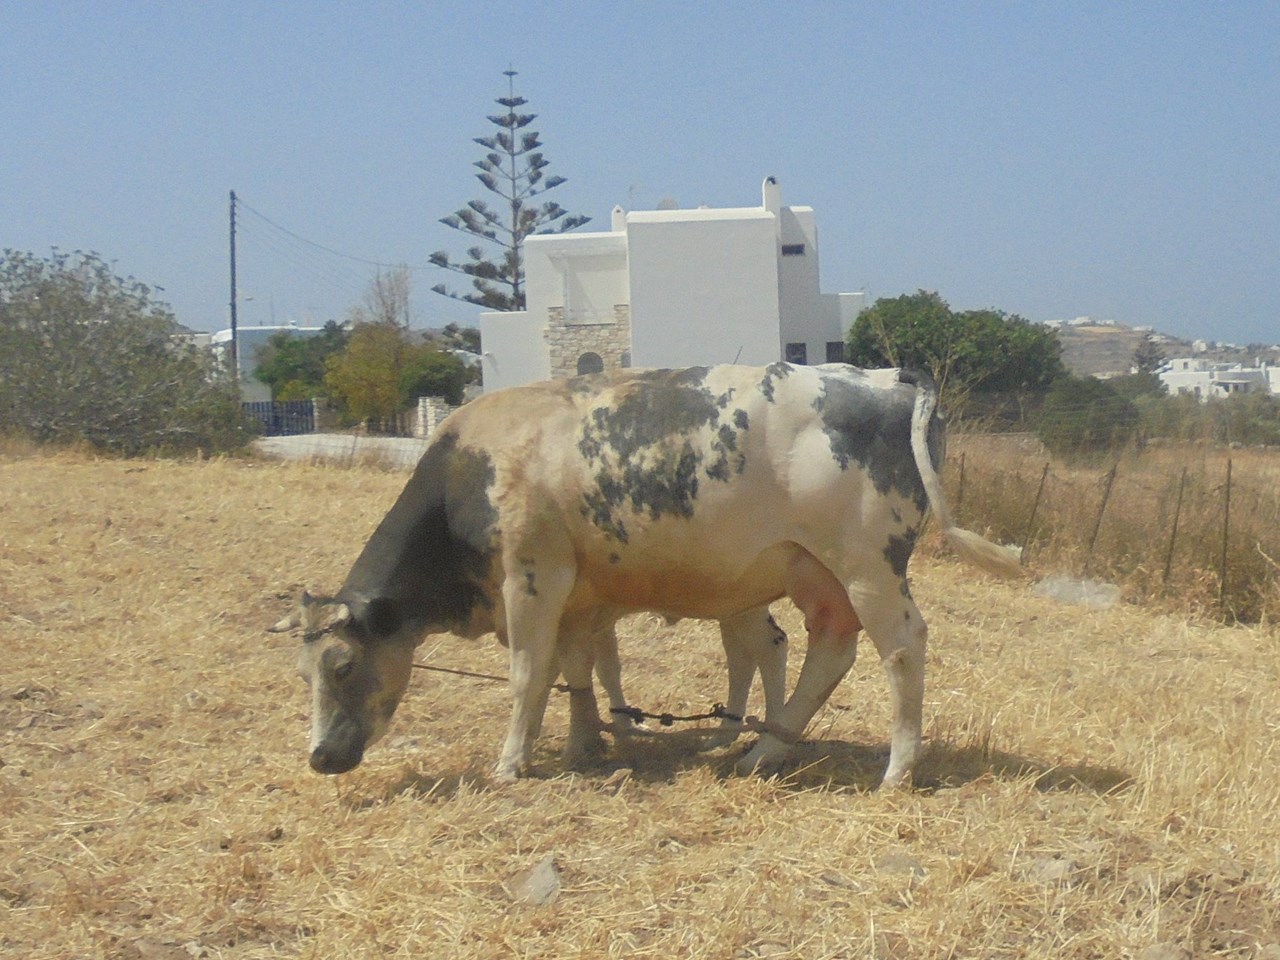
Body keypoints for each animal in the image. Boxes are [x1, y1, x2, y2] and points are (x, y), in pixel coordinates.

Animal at [277, 360, 1018, 788]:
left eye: (343, 666)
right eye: (304, 673)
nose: (319, 758)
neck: (474, 469)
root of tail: (886, 378)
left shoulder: (533, 574)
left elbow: (528, 672)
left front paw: (512, 762)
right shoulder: (580, 593)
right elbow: (574, 668)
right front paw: (583, 742)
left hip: (868, 564)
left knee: (902, 647)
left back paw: (896, 767)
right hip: (814, 571)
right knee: (827, 650)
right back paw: (761, 753)